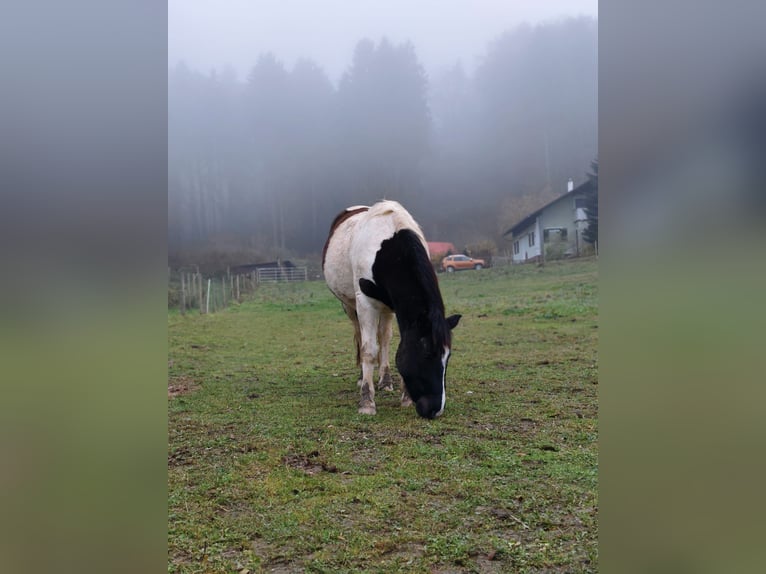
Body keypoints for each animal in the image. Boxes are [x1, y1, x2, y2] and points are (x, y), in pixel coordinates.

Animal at [322, 200, 461, 419]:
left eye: (447, 358)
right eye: (427, 354)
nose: (435, 409)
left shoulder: (397, 306)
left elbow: (392, 343)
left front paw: (405, 398)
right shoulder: (365, 302)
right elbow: (368, 350)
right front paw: (367, 402)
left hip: (386, 307)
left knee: (384, 338)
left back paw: (385, 381)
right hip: (350, 305)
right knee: (361, 337)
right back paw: (363, 378)